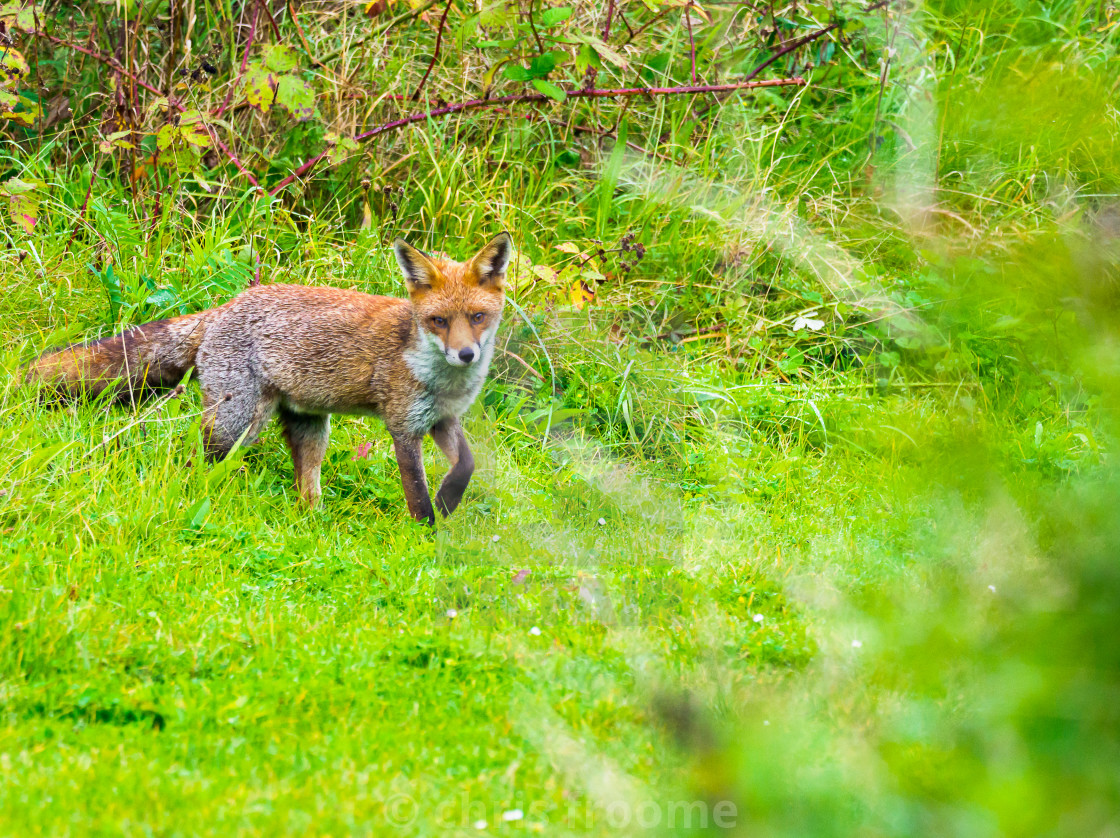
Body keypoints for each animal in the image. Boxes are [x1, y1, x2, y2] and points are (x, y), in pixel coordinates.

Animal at [22, 230, 512, 524]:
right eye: (438, 321)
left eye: (477, 317)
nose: (466, 354)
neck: (441, 379)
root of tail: (225, 306)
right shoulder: (403, 425)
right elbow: (416, 491)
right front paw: (427, 531)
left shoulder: (442, 419)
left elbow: (466, 464)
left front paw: (450, 500)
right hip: (237, 422)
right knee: (196, 461)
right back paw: (201, 498)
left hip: (309, 426)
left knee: (305, 485)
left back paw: (313, 520)